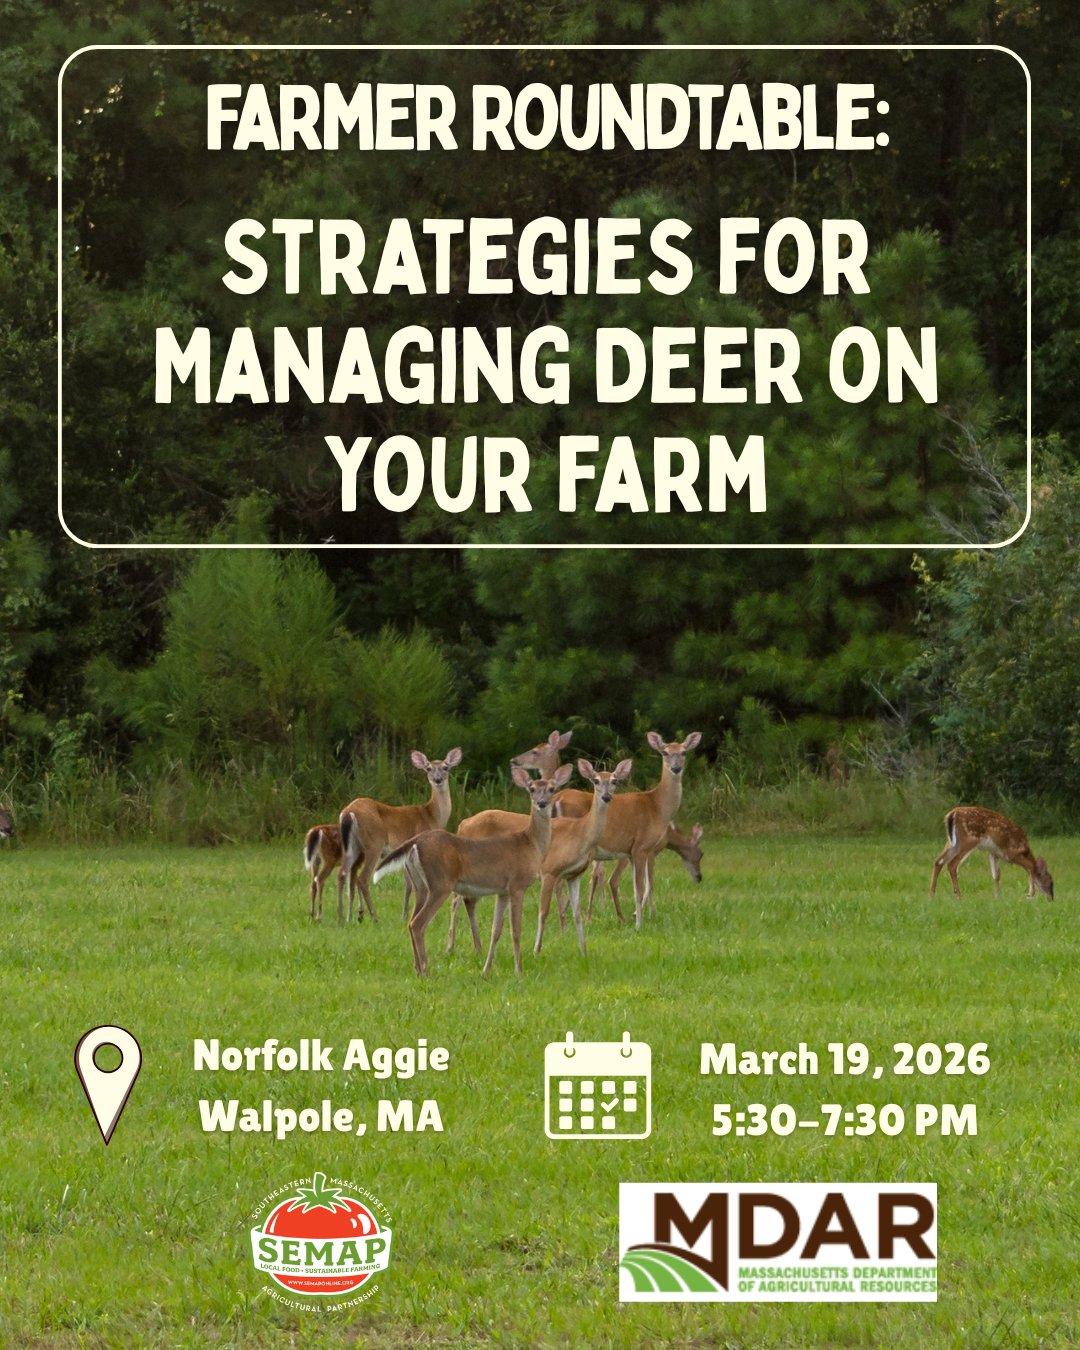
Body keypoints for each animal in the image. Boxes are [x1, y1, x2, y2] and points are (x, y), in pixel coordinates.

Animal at [337, 748, 463, 926]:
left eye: (446, 767)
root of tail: (348, 813)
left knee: (343, 873)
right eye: (428, 769)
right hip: (374, 842)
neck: (432, 815)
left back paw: (345, 917)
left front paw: (404, 915)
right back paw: (374, 917)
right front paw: (405, 916)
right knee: (362, 877)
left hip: (352, 844)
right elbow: (410, 885)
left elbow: (407, 885)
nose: (437, 779)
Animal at [373, 764, 574, 977]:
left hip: (421, 885)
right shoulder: (517, 885)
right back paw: (426, 972)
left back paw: (418, 969)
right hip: (440, 883)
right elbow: (515, 931)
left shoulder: (502, 891)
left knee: (411, 921)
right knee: (417, 923)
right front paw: (519, 971)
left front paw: (486, 970)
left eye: (551, 789)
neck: (531, 843)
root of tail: (415, 842)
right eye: (532, 789)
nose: (541, 803)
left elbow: (496, 930)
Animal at [553, 731, 701, 927]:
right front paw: (639, 922)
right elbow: (643, 886)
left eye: (684, 752)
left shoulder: (631, 852)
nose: (676, 768)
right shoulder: (643, 847)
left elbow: (636, 888)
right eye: (665, 752)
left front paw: (638, 919)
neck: (657, 807)